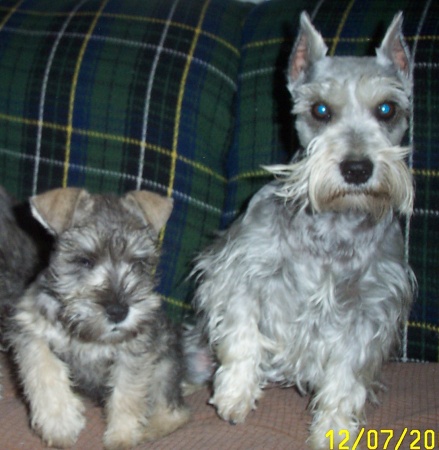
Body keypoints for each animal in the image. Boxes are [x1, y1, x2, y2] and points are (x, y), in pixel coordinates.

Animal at [6, 187, 189, 450]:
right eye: (84, 260)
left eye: (138, 263)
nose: (118, 311)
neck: (87, 334)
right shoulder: (28, 329)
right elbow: (44, 371)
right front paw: (60, 423)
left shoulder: (134, 350)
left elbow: (128, 392)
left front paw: (123, 435)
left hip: (165, 365)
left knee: (174, 411)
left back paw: (148, 430)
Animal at [189, 11, 416, 450]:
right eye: (321, 109)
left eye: (387, 109)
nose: (357, 168)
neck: (335, 224)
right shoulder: (241, 272)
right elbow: (242, 332)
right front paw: (235, 394)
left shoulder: (369, 309)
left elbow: (346, 375)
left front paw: (334, 428)